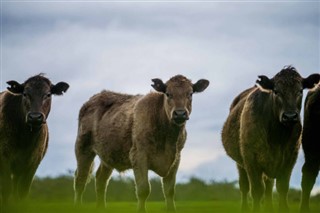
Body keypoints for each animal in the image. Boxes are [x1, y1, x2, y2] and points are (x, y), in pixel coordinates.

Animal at [0, 73, 69, 206]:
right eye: (25, 94)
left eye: (48, 94)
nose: (35, 117)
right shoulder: (4, 159)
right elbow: (6, 190)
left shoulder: (32, 163)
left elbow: (22, 192)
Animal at [220, 65, 320, 212]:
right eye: (276, 91)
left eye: (300, 91)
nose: (290, 116)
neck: (277, 137)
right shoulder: (251, 160)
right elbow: (256, 190)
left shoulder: (289, 159)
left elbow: (282, 188)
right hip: (240, 164)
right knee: (244, 187)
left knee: (268, 188)